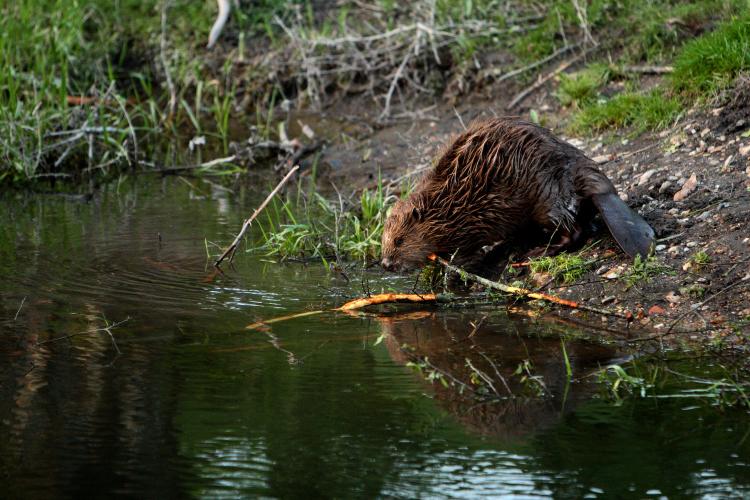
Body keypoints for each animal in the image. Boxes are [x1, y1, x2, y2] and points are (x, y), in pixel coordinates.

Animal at [378, 117, 656, 274]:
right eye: (384, 240)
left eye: (400, 241)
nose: (386, 264)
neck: (446, 202)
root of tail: (603, 189)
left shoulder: (469, 223)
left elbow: (466, 251)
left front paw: (455, 266)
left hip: (546, 198)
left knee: (573, 230)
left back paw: (538, 251)